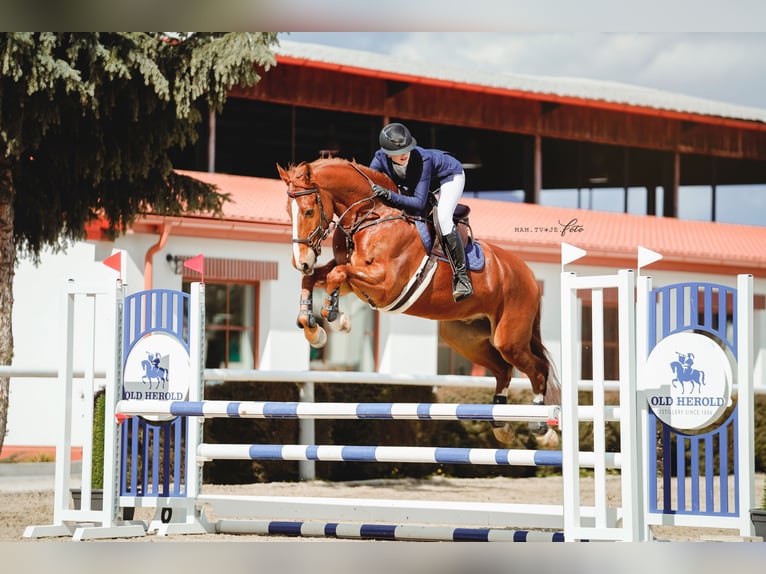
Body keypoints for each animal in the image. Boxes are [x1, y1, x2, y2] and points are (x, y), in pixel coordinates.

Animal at [280, 159, 560, 450]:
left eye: (309, 211)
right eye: (288, 212)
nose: (301, 261)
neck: (372, 216)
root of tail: (528, 275)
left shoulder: (386, 285)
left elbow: (337, 275)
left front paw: (336, 318)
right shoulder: (352, 280)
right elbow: (316, 277)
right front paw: (313, 329)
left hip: (509, 338)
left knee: (538, 369)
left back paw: (543, 429)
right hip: (466, 338)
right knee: (504, 370)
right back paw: (501, 425)